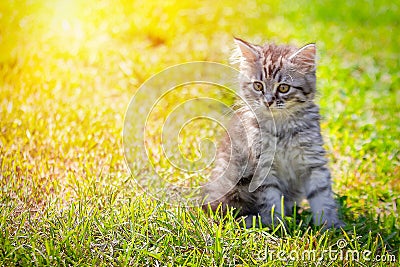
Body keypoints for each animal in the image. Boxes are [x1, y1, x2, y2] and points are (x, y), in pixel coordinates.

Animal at [203, 37, 344, 229]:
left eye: (283, 88)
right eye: (258, 86)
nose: (268, 101)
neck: (281, 128)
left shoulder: (312, 161)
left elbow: (322, 196)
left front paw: (329, 226)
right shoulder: (263, 167)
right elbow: (271, 201)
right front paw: (276, 226)